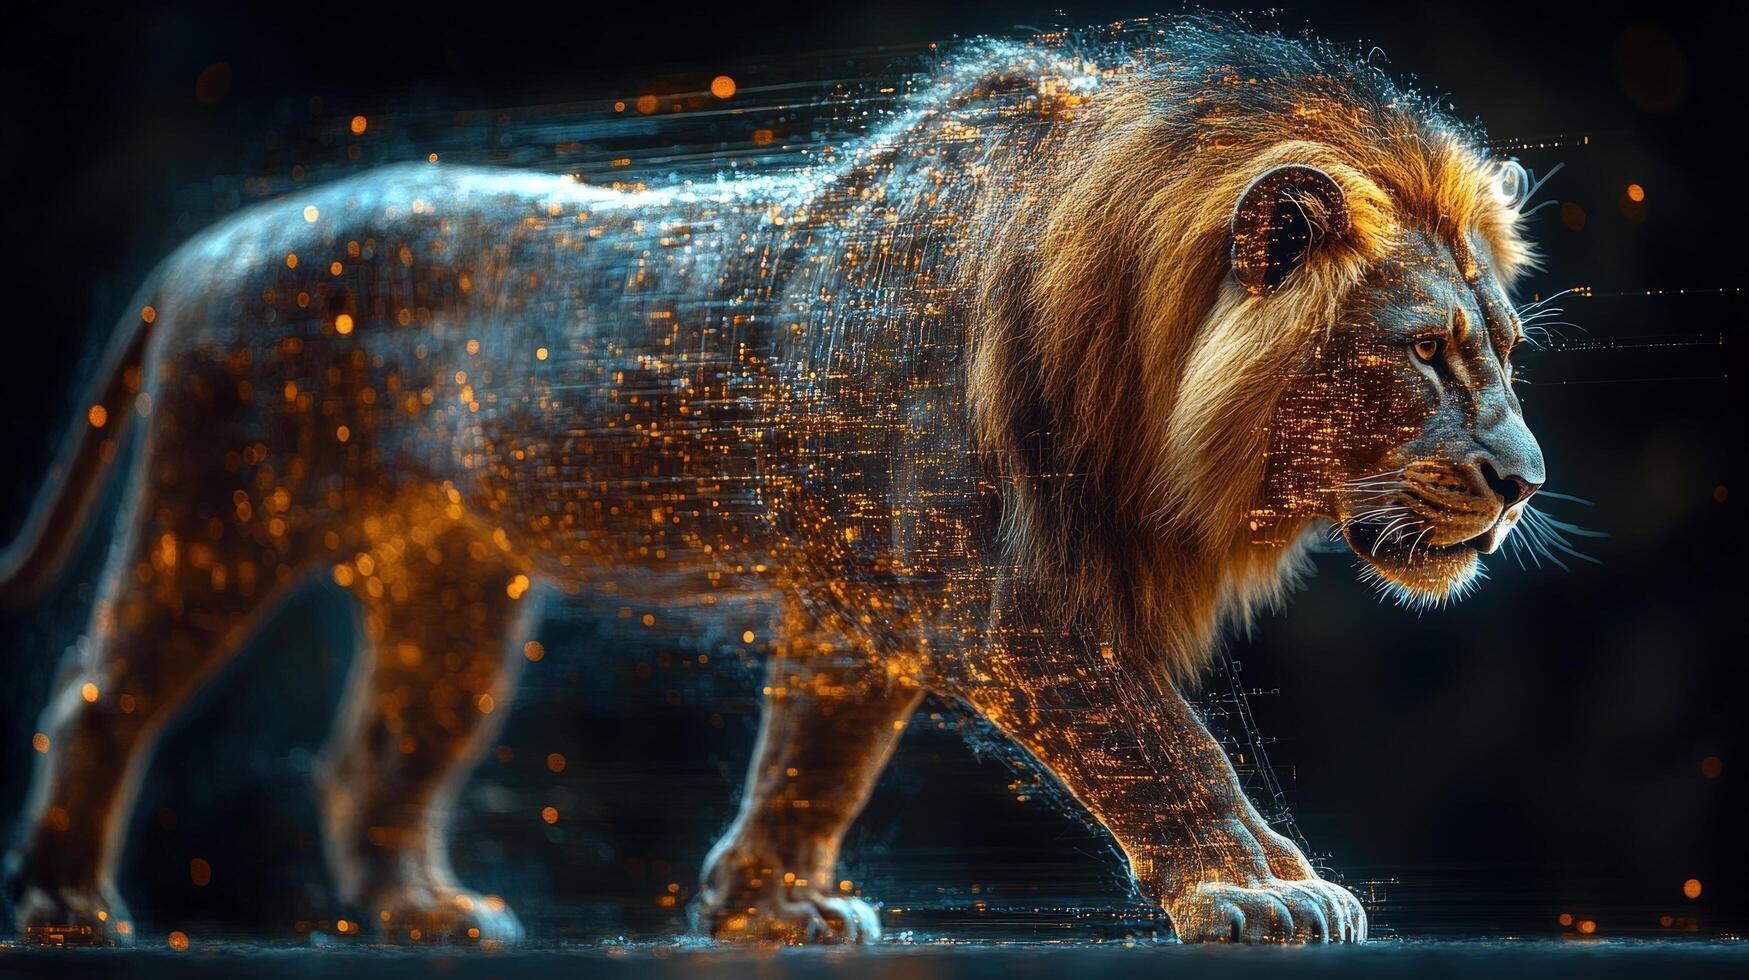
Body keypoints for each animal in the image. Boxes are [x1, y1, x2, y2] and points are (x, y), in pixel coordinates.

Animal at [3, 20, 1545, 946]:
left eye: (1509, 348)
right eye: (1424, 352)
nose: (1523, 479)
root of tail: (206, 245)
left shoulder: (858, 608)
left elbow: (813, 759)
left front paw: (767, 906)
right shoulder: (1004, 609)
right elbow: (1164, 742)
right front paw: (1258, 887)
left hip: (452, 592)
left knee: (374, 751)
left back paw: (426, 913)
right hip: (216, 512)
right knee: (98, 692)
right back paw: (69, 902)